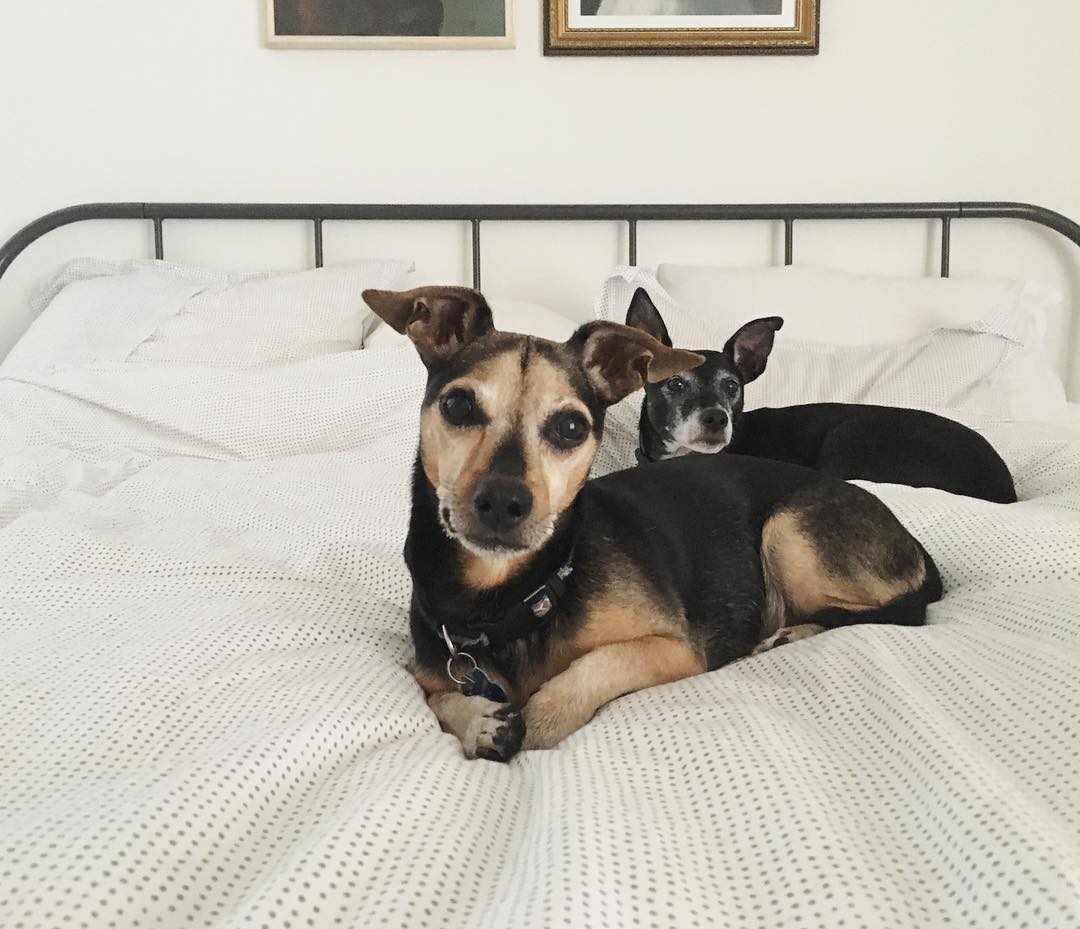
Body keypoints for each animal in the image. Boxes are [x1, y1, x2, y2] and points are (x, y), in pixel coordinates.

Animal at [367, 285, 941, 760]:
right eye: (458, 405)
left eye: (571, 427)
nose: (504, 502)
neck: (505, 600)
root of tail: (916, 546)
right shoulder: (427, 671)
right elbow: (439, 697)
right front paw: (481, 722)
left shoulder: (677, 649)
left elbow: (583, 677)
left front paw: (537, 717)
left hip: (787, 530)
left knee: (890, 613)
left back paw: (790, 634)